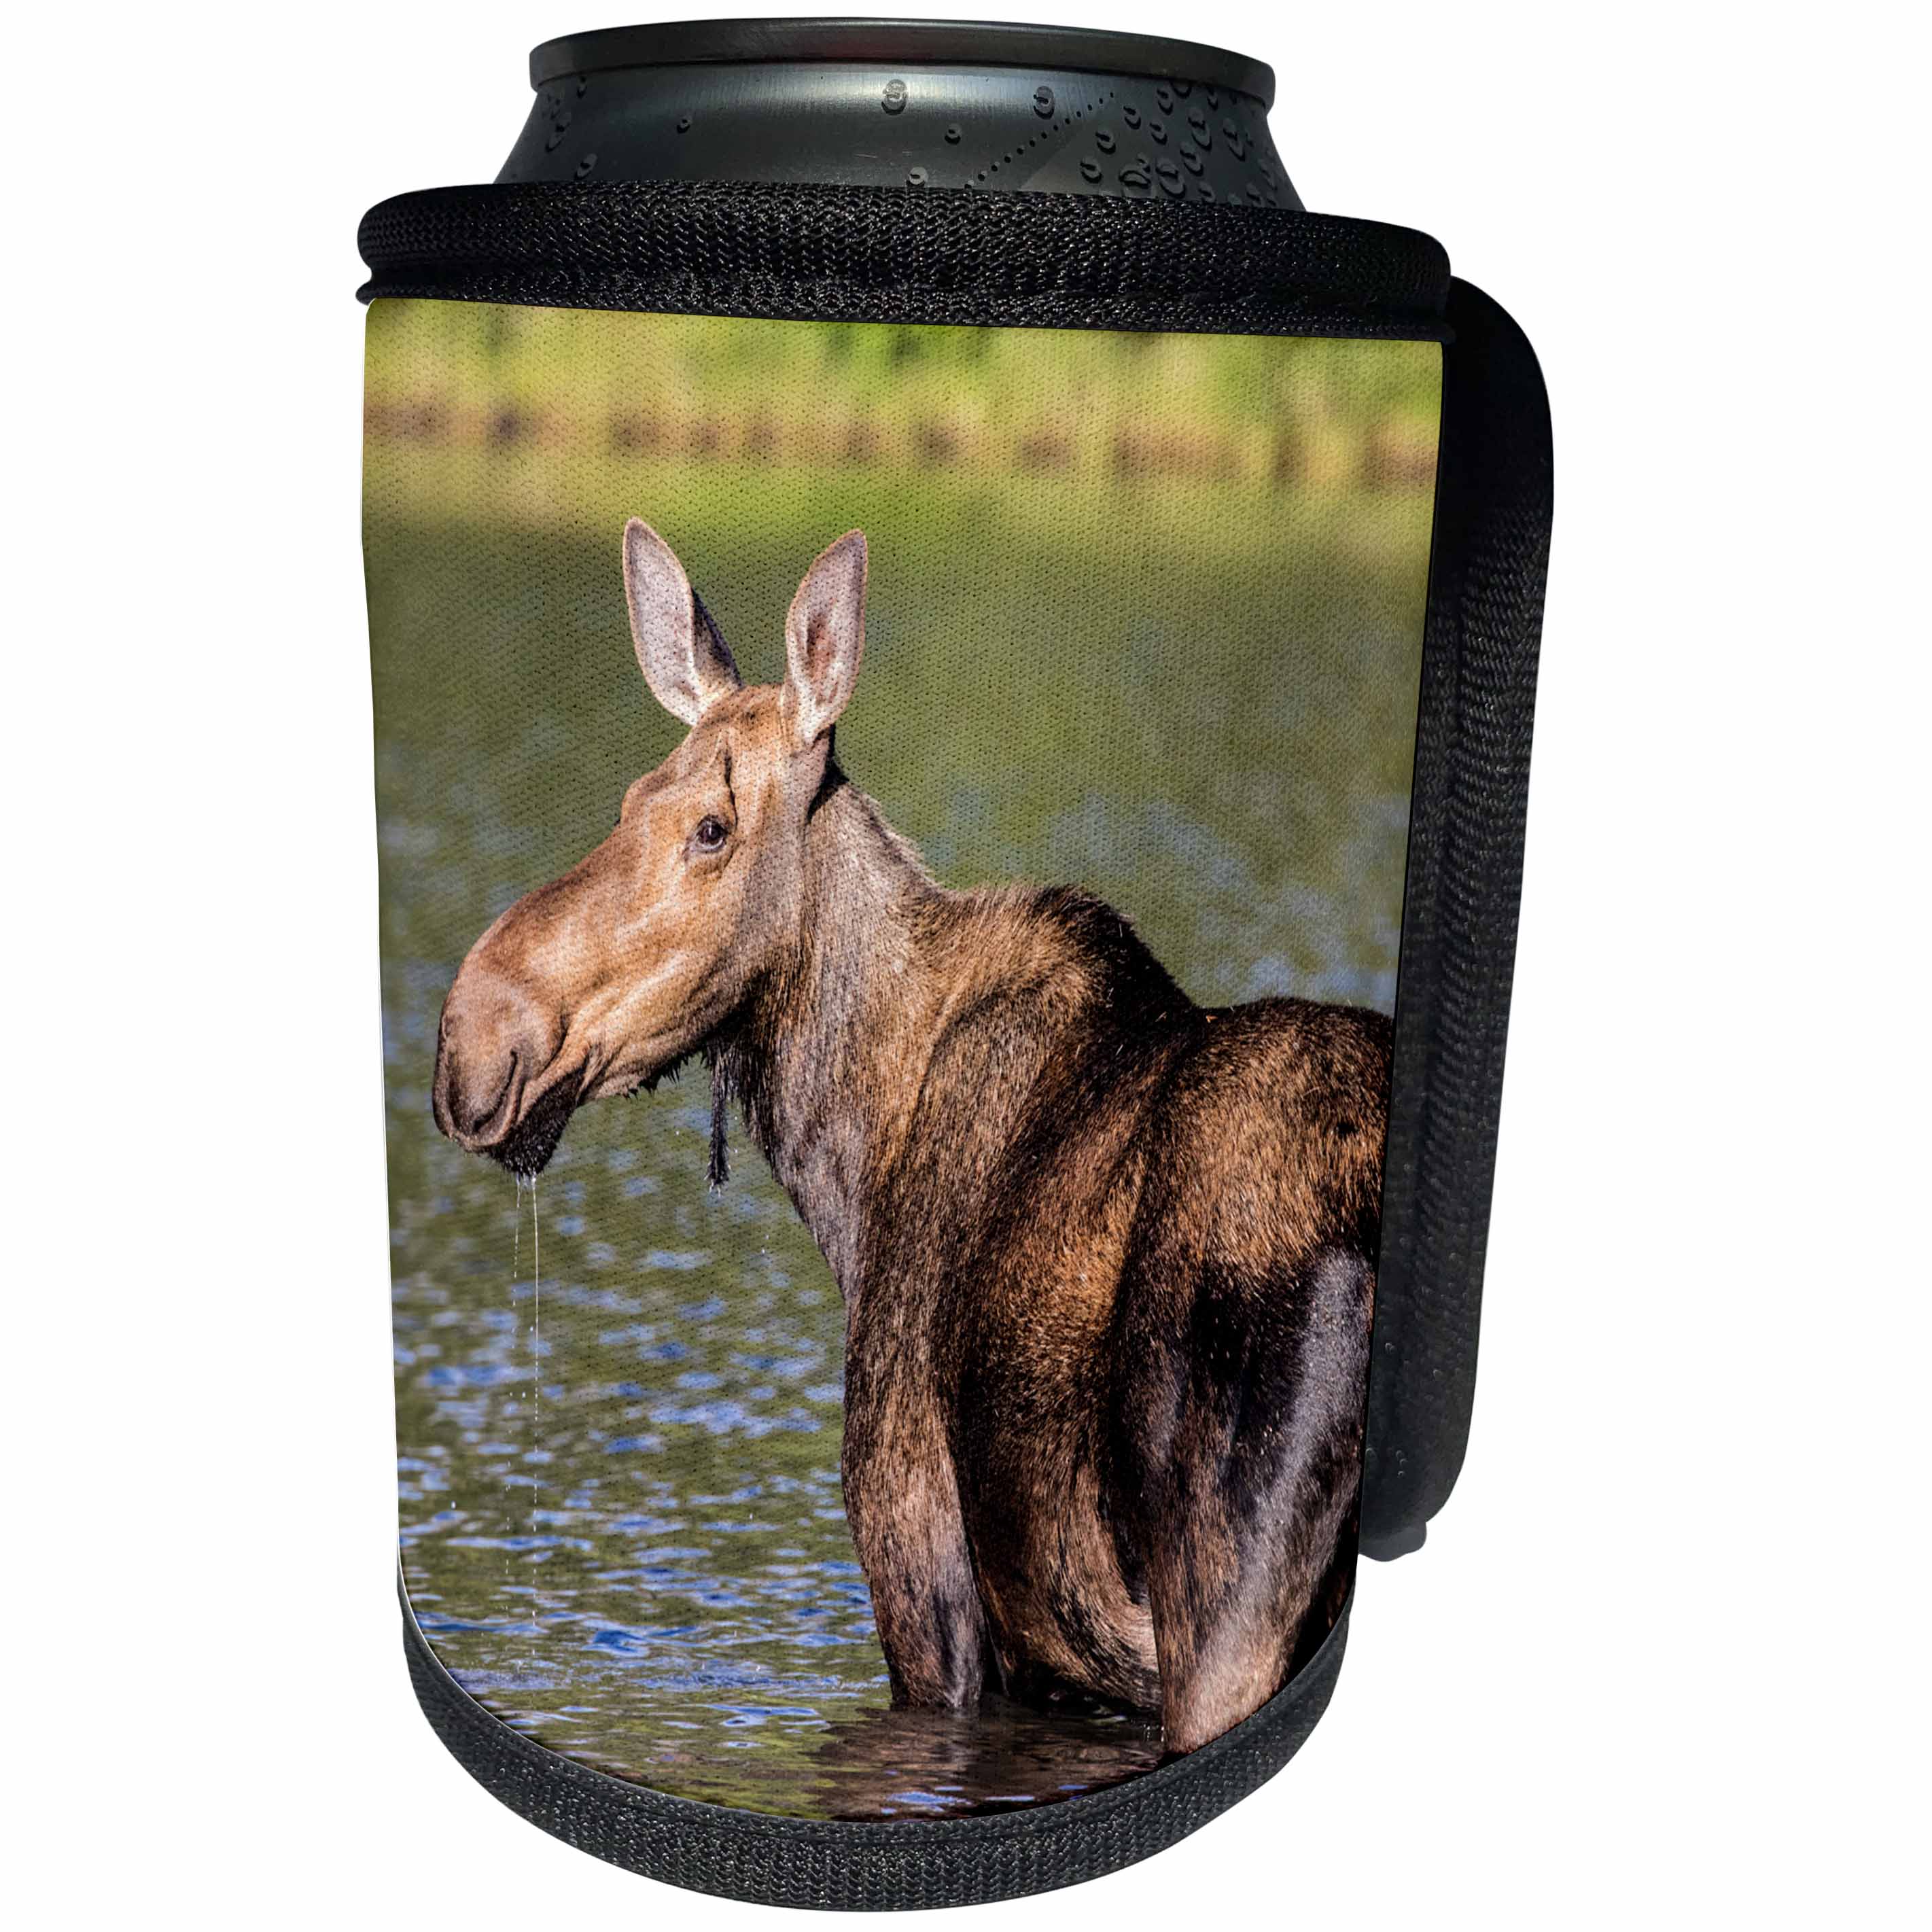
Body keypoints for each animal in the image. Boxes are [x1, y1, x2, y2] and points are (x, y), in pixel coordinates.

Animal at [431, 522, 1390, 1757]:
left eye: (710, 827)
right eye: (627, 798)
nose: (469, 1036)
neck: (848, 1164)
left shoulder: (924, 1586)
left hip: (1228, 1610)